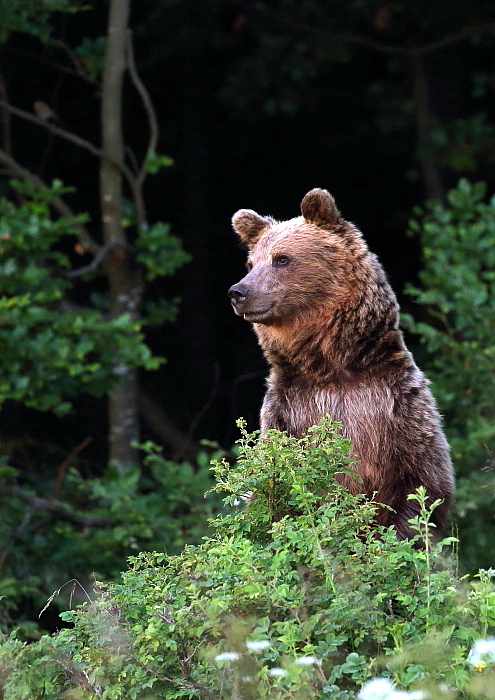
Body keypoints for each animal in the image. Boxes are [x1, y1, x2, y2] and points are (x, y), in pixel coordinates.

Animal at [228, 189, 454, 540]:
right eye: (251, 263)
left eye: (282, 259)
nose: (238, 291)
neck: (331, 364)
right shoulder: (287, 411)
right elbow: (273, 492)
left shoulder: (396, 404)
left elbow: (423, 483)